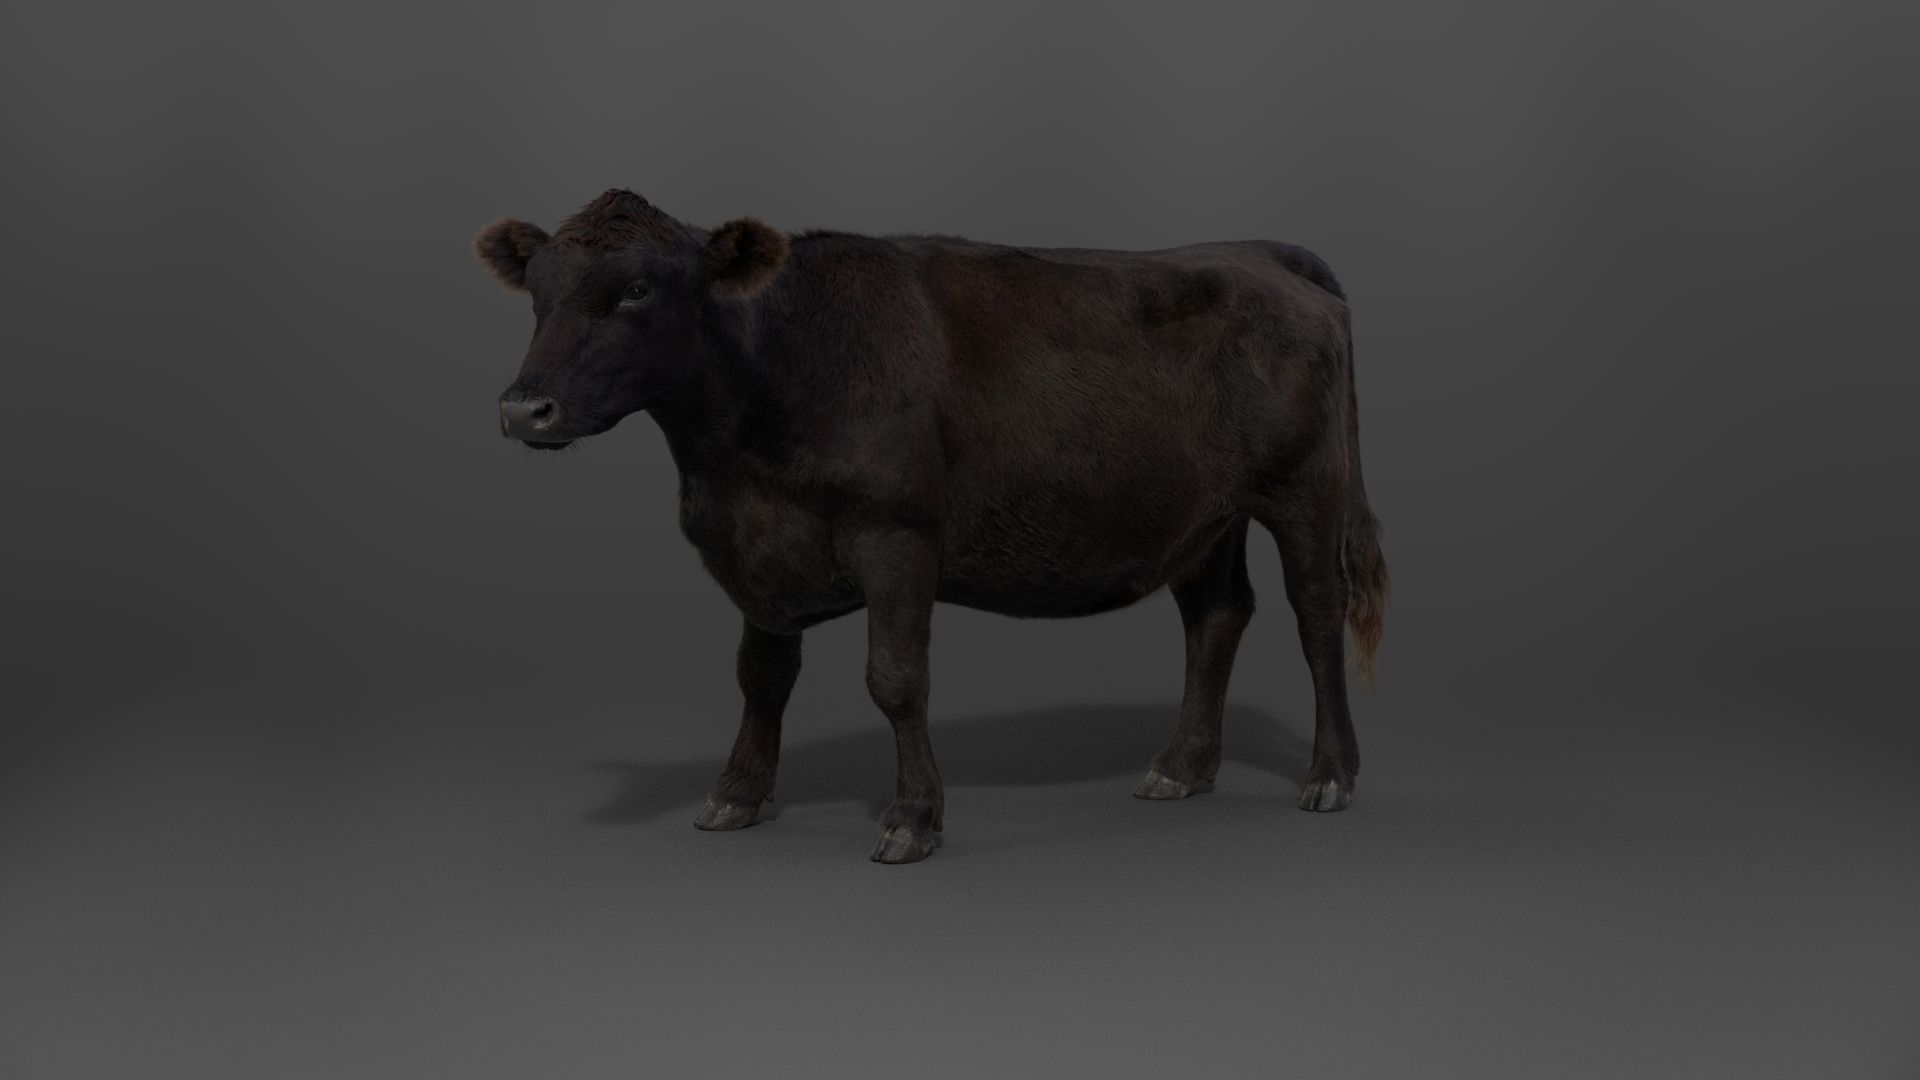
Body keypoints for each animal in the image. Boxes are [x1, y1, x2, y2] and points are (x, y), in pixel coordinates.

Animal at [473, 189, 1389, 864]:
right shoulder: (756, 548)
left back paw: (1331, 776)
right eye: (538, 293)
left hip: (1306, 492)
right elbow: (759, 677)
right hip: (1205, 512)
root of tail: (1258, 252)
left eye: (637, 288)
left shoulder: (899, 533)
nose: (523, 409)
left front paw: (912, 817)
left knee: (1317, 619)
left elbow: (895, 678)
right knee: (1217, 617)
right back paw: (1180, 769)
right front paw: (736, 794)